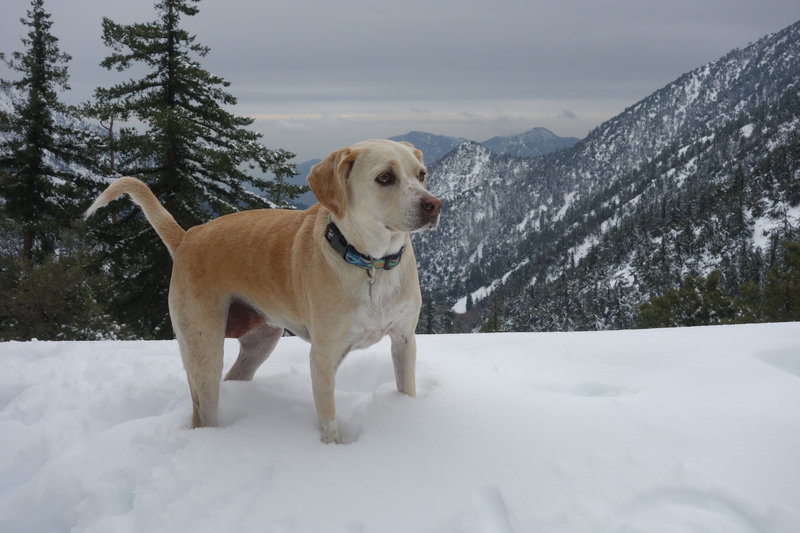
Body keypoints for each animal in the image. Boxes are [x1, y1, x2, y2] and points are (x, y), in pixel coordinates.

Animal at [86, 139, 444, 442]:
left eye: (421, 174)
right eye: (385, 177)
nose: (434, 205)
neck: (370, 265)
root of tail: (187, 237)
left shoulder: (404, 340)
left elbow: (406, 384)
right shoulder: (323, 357)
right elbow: (328, 422)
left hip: (261, 340)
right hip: (204, 349)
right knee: (204, 404)